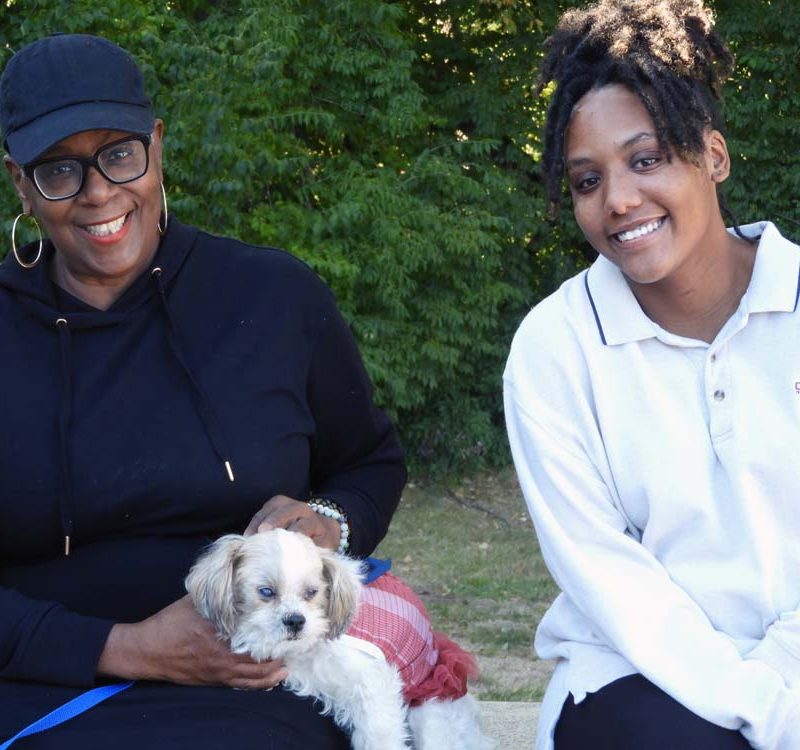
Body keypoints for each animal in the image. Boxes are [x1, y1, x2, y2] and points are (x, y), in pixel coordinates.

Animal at [185, 528, 490, 750]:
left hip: (431, 714)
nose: (295, 620)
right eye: (266, 592)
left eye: (312, 592)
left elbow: (381, 735)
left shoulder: (373, 686)